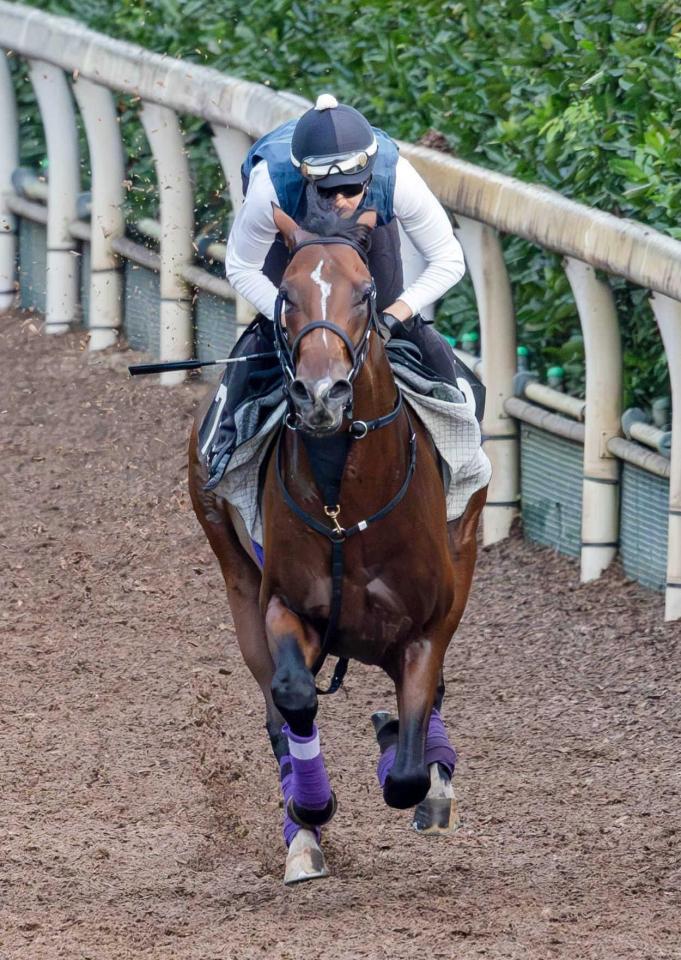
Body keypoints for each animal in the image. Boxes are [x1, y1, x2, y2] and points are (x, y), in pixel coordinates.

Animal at [189, 201, 486, 884]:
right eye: (287, 293)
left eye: (366, 292)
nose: (322, 396)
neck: (344, 500)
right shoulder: (283, 605)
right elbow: (295, 697)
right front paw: (311, 809)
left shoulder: (429, 622)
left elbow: (408, 769)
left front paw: (410, 757)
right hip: (235, 574)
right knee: (279, 712)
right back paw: (302, 833)